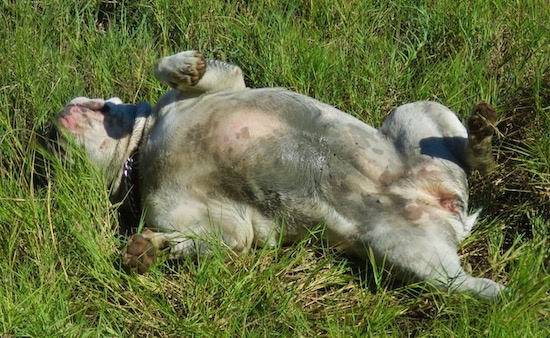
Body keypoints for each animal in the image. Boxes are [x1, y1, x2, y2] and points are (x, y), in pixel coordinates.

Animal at [54, 50, 506, 298]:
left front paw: (185, 66)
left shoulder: (221, 82)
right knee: (466, 284)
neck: (143, 147)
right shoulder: (213, 222)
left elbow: (169, 65)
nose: (49, 125)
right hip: (409, 254)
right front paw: (148, 250)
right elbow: (210, 241)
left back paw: (482, 133)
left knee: (466, 155)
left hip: (418, 114)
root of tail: (451, 209)